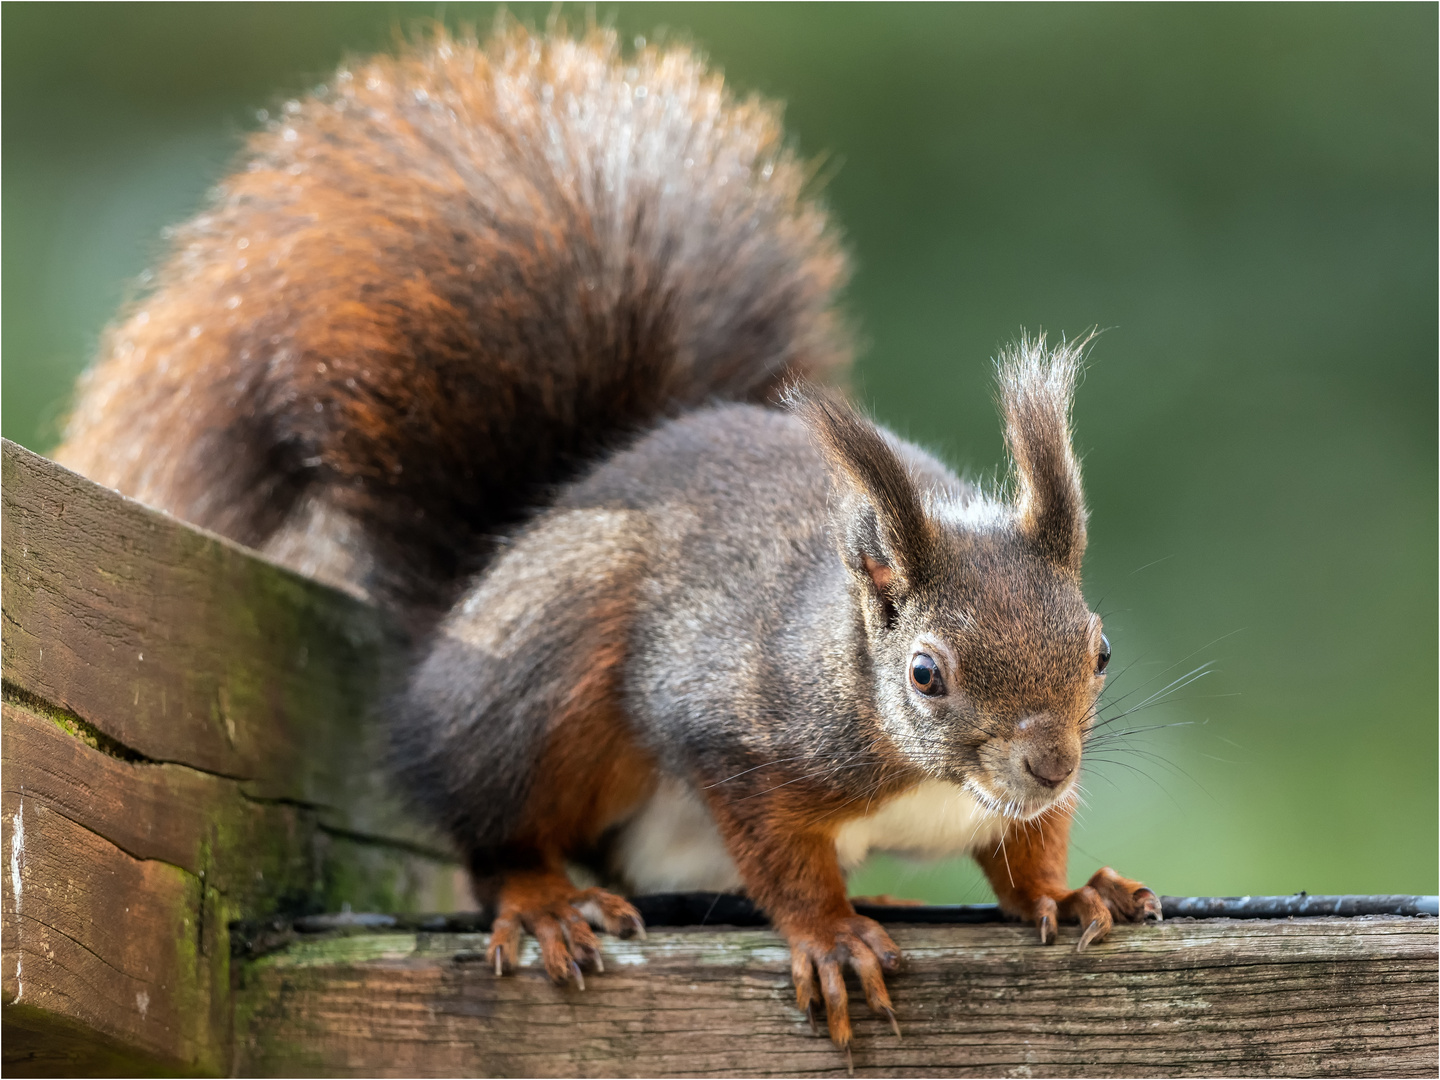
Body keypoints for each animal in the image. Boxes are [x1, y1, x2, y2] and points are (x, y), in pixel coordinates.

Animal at [56, 25, 1157, 1059]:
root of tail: (477, 592)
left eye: (1101, 649)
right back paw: (548, 903)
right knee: (494, 833)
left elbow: (1024, 855)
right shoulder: (732, 730)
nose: (1051, 764)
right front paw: (830, 935)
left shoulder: (1009, 807)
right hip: (544, 692)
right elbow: (780, 856)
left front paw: (1064, 895)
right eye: (926, 674)